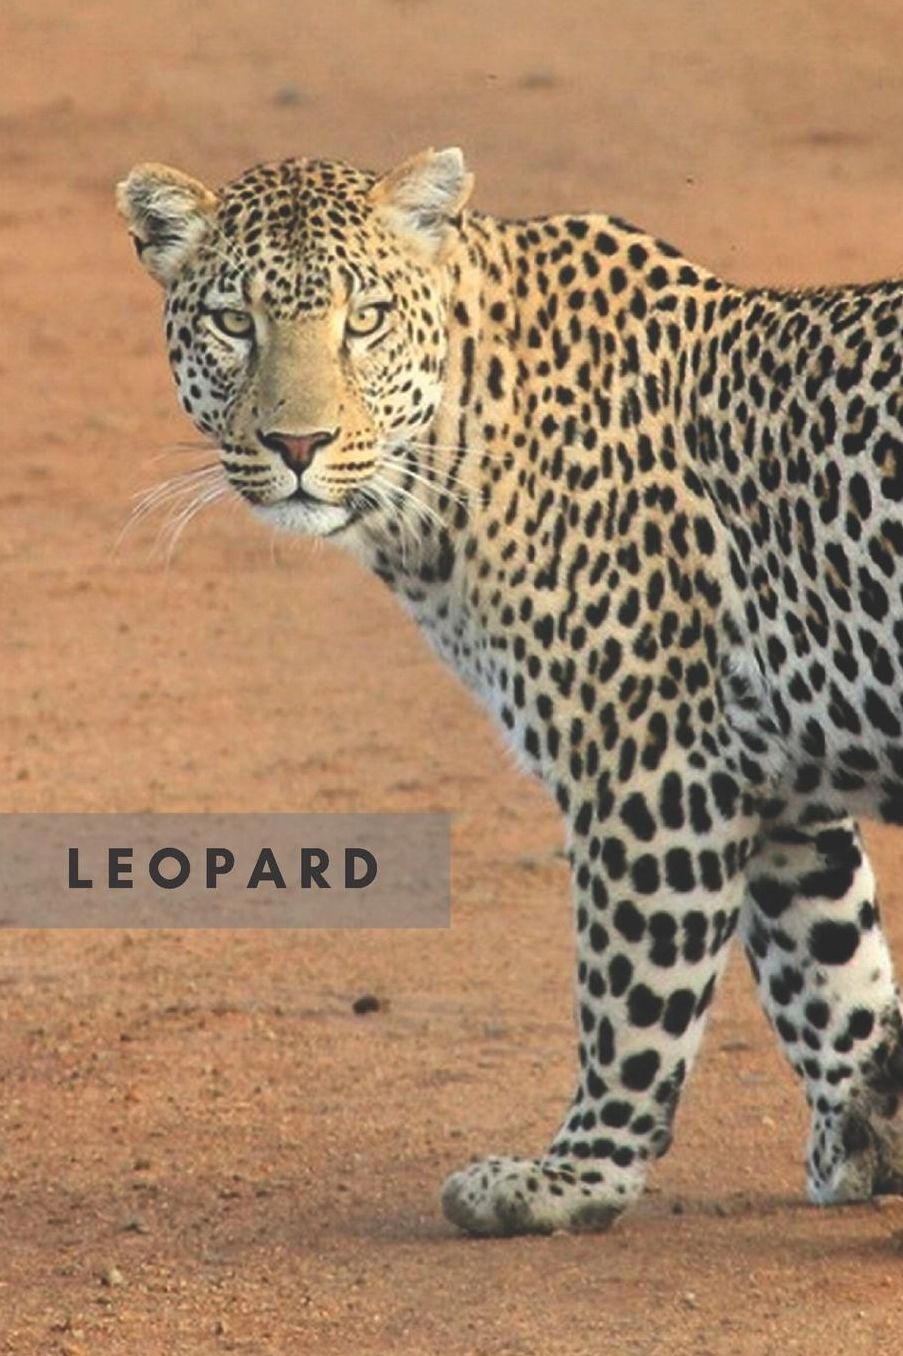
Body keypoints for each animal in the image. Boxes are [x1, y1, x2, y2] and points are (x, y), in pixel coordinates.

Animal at [117, 146, 903, 1236]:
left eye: (365, 319)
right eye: (236, 323)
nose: (298, 445)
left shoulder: (653, 771)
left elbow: (633, 1001)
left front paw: (572, 1179)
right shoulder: (781, 782)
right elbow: (829, 970)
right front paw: (869, 1133)